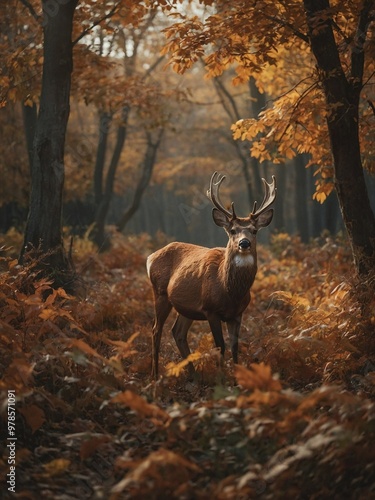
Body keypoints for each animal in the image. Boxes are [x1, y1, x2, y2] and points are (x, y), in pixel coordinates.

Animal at [147, 172, 276, 378]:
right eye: (232, 230)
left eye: (254, 230)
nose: (244, 243)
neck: (230, 291)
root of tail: (150, 257)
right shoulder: (210, 309)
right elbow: (220, 346)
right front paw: (221, 378)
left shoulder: (237, 313)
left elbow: (234, 347)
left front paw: (238, 378)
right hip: (160, 293)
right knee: (155, 330)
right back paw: (155, 376)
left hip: (186, 307)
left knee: (178, 332)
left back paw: (193, 376)